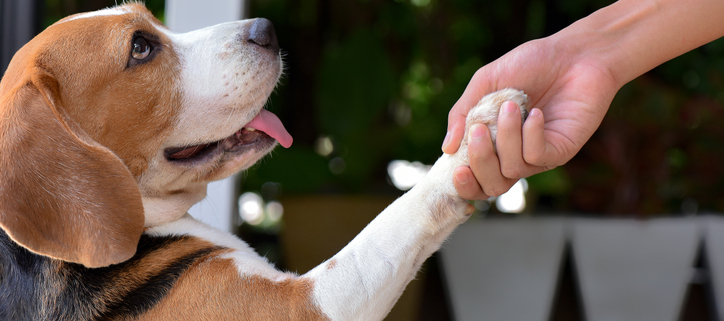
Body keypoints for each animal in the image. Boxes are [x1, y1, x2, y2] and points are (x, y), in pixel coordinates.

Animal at [0, 3, 528, 320]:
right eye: (140, 47)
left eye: (153, 20)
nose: (266, 30)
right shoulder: (303, 305)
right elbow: (392, 223)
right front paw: (471, 143)